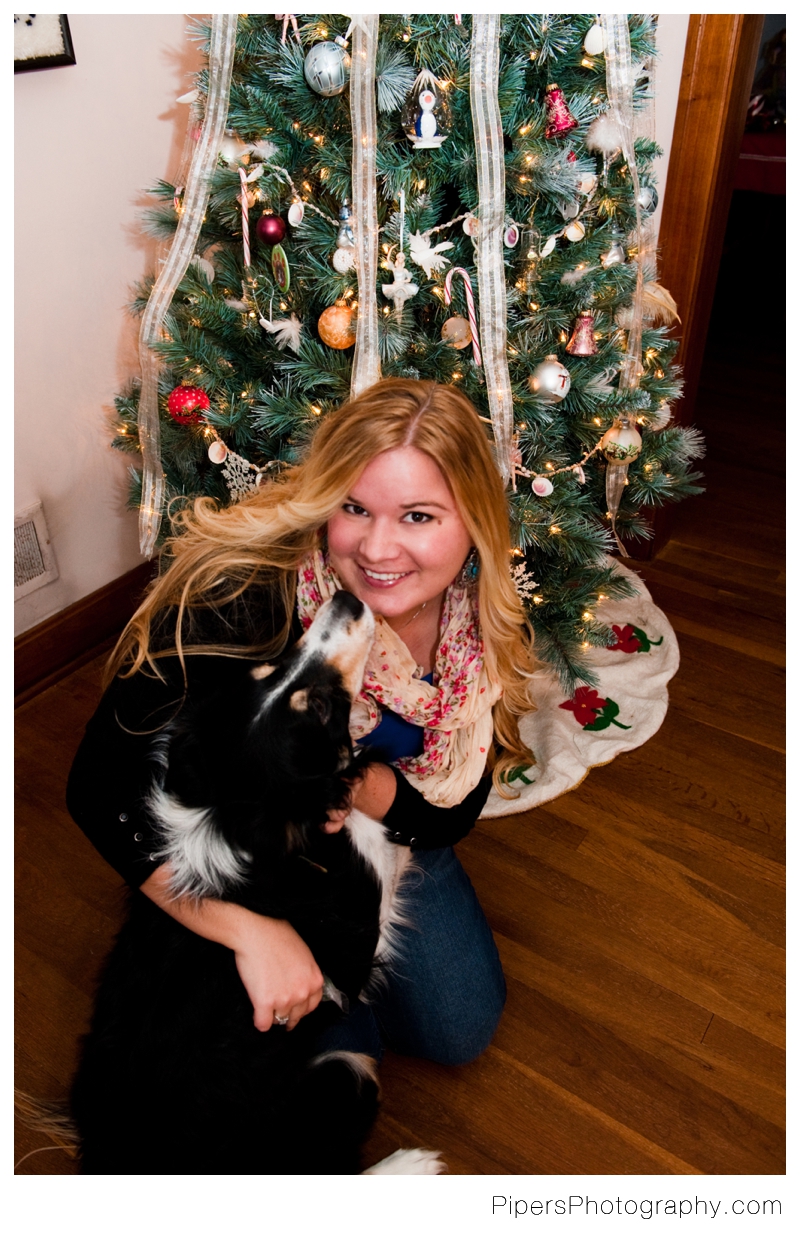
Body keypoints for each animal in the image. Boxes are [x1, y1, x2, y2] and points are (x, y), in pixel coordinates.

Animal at [70, 594, 443, 1173]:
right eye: (318, 707)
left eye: (266, 668)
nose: (347, 599)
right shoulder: (363, 929)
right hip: (346, 1071)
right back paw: (414, 1162)